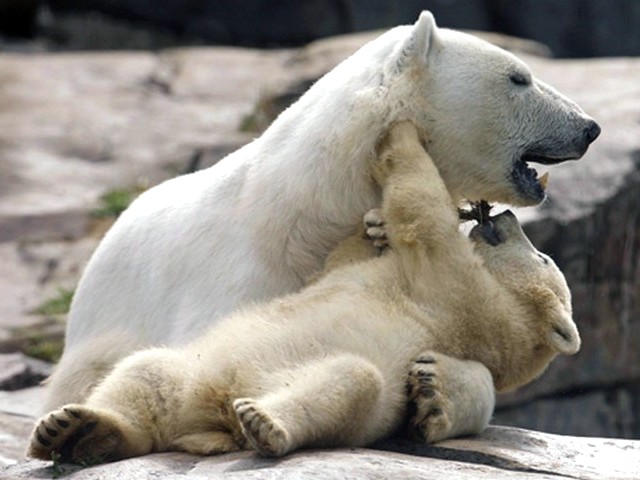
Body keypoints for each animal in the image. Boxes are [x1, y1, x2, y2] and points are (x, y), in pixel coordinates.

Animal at [29, 122, 581, 463]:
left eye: (545, 259)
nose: (505, 217)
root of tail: (211, 418)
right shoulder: (378, 276)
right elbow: (343, 260)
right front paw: (375, 225)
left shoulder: (467, 298)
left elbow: (424, 221)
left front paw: (403, 136)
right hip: (190, 370)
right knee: (145, 374)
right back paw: (74, 428)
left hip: (314, 383)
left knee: (348, 382)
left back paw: (264, 420)